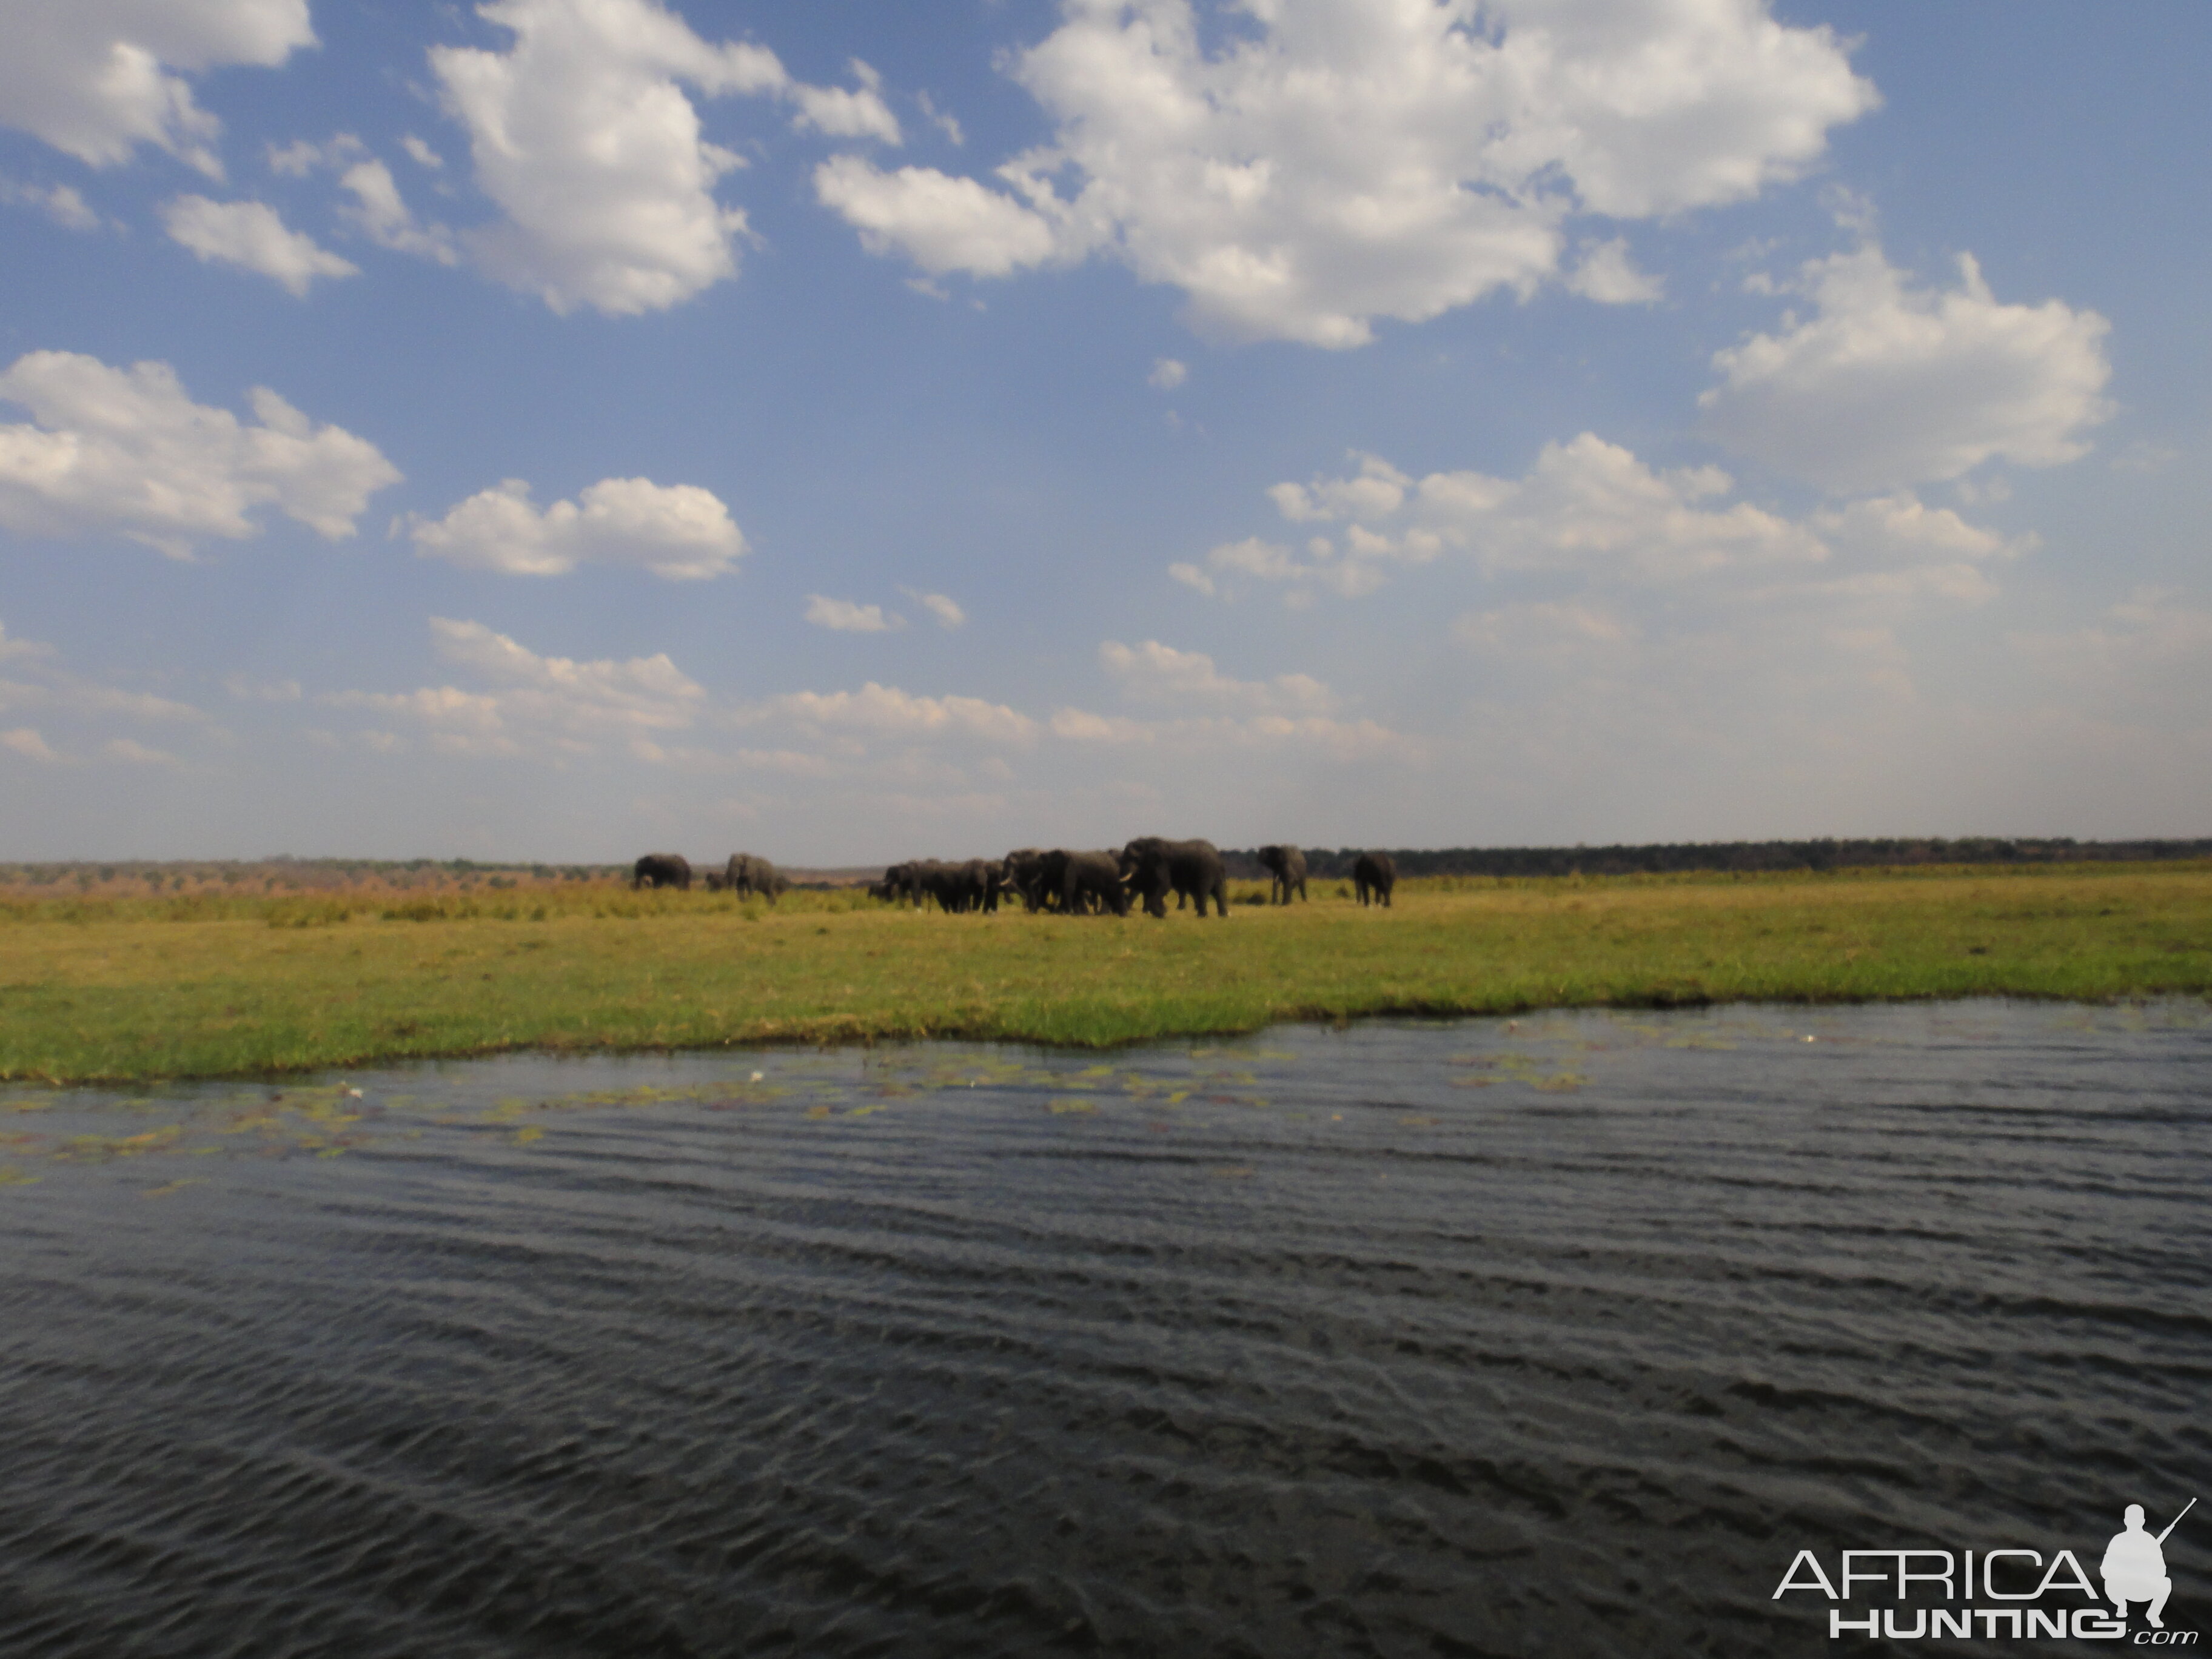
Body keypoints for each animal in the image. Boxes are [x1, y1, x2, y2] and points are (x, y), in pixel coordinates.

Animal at [1114, 845, 1238, 924]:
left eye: (1132, 859)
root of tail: (1218, 858)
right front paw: (1161, 912)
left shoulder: (1161, 866)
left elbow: (1163, 886)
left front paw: (1161, 913)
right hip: (1215, 874)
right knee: (1218, 892)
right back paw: (1223, 915)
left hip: (1206, 871)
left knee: (1203, 891)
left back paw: (1201, 916)